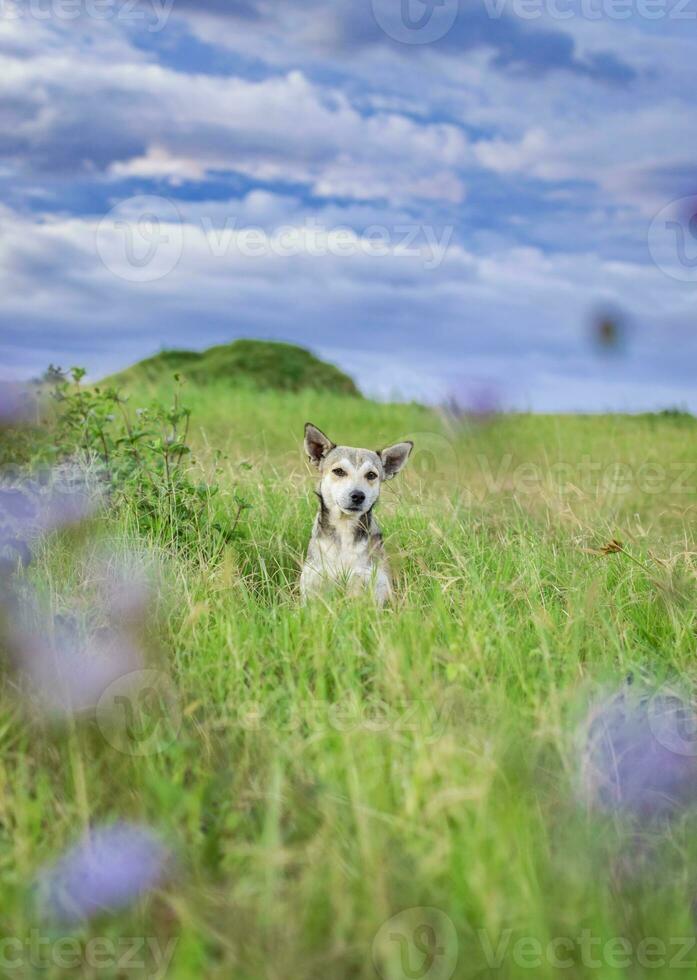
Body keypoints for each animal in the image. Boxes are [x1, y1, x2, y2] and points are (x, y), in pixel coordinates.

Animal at [300, 424, 410, 604]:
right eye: (339, 471)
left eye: (371, 475)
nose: (358, 495)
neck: (345, 526)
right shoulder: (313, 582)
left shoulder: (371, 581)